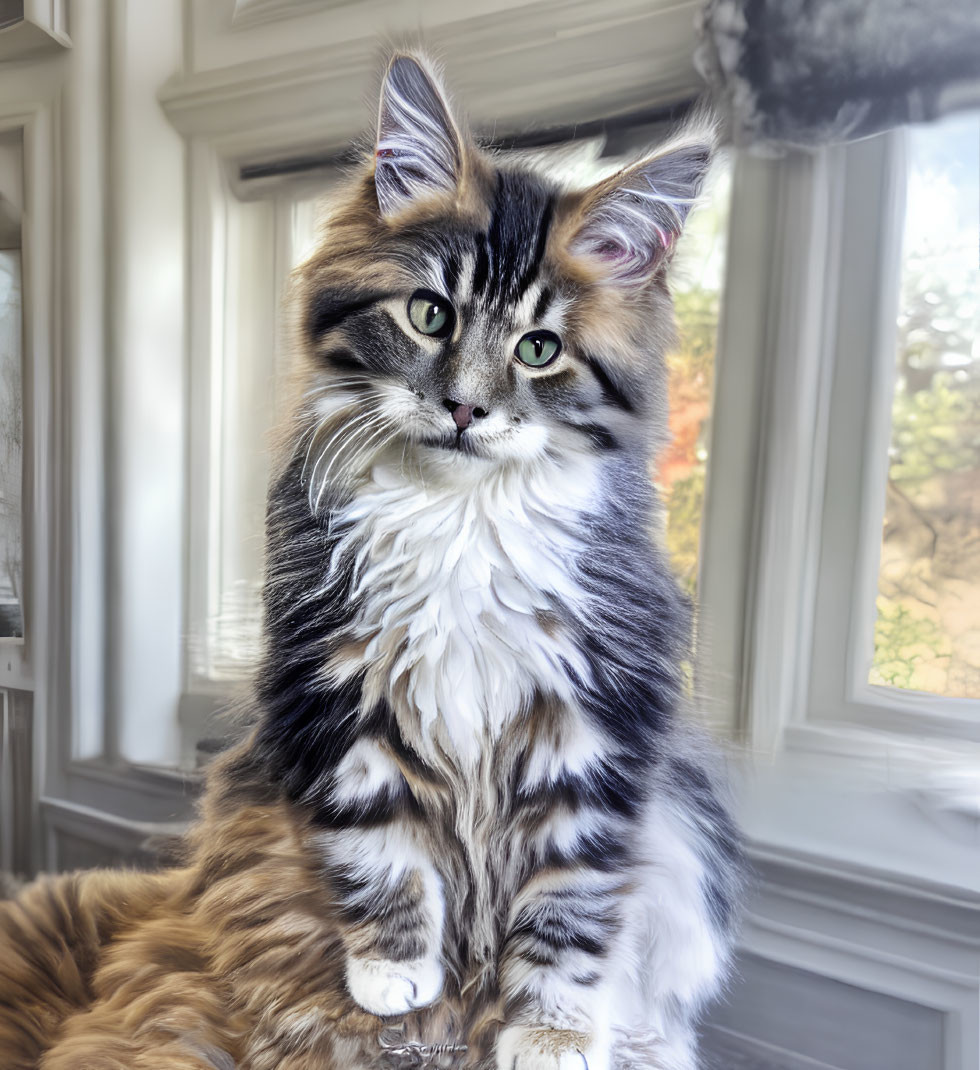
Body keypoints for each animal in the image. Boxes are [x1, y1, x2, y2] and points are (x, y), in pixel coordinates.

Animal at [0, 52, 744, 1070]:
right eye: (429, 315)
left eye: (539, 348)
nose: (466, 407)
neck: (458, 514)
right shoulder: (338, 691)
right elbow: (380, 853)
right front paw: (394, 979)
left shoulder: (594, 722)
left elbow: (570, 899)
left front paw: (549, 1031)